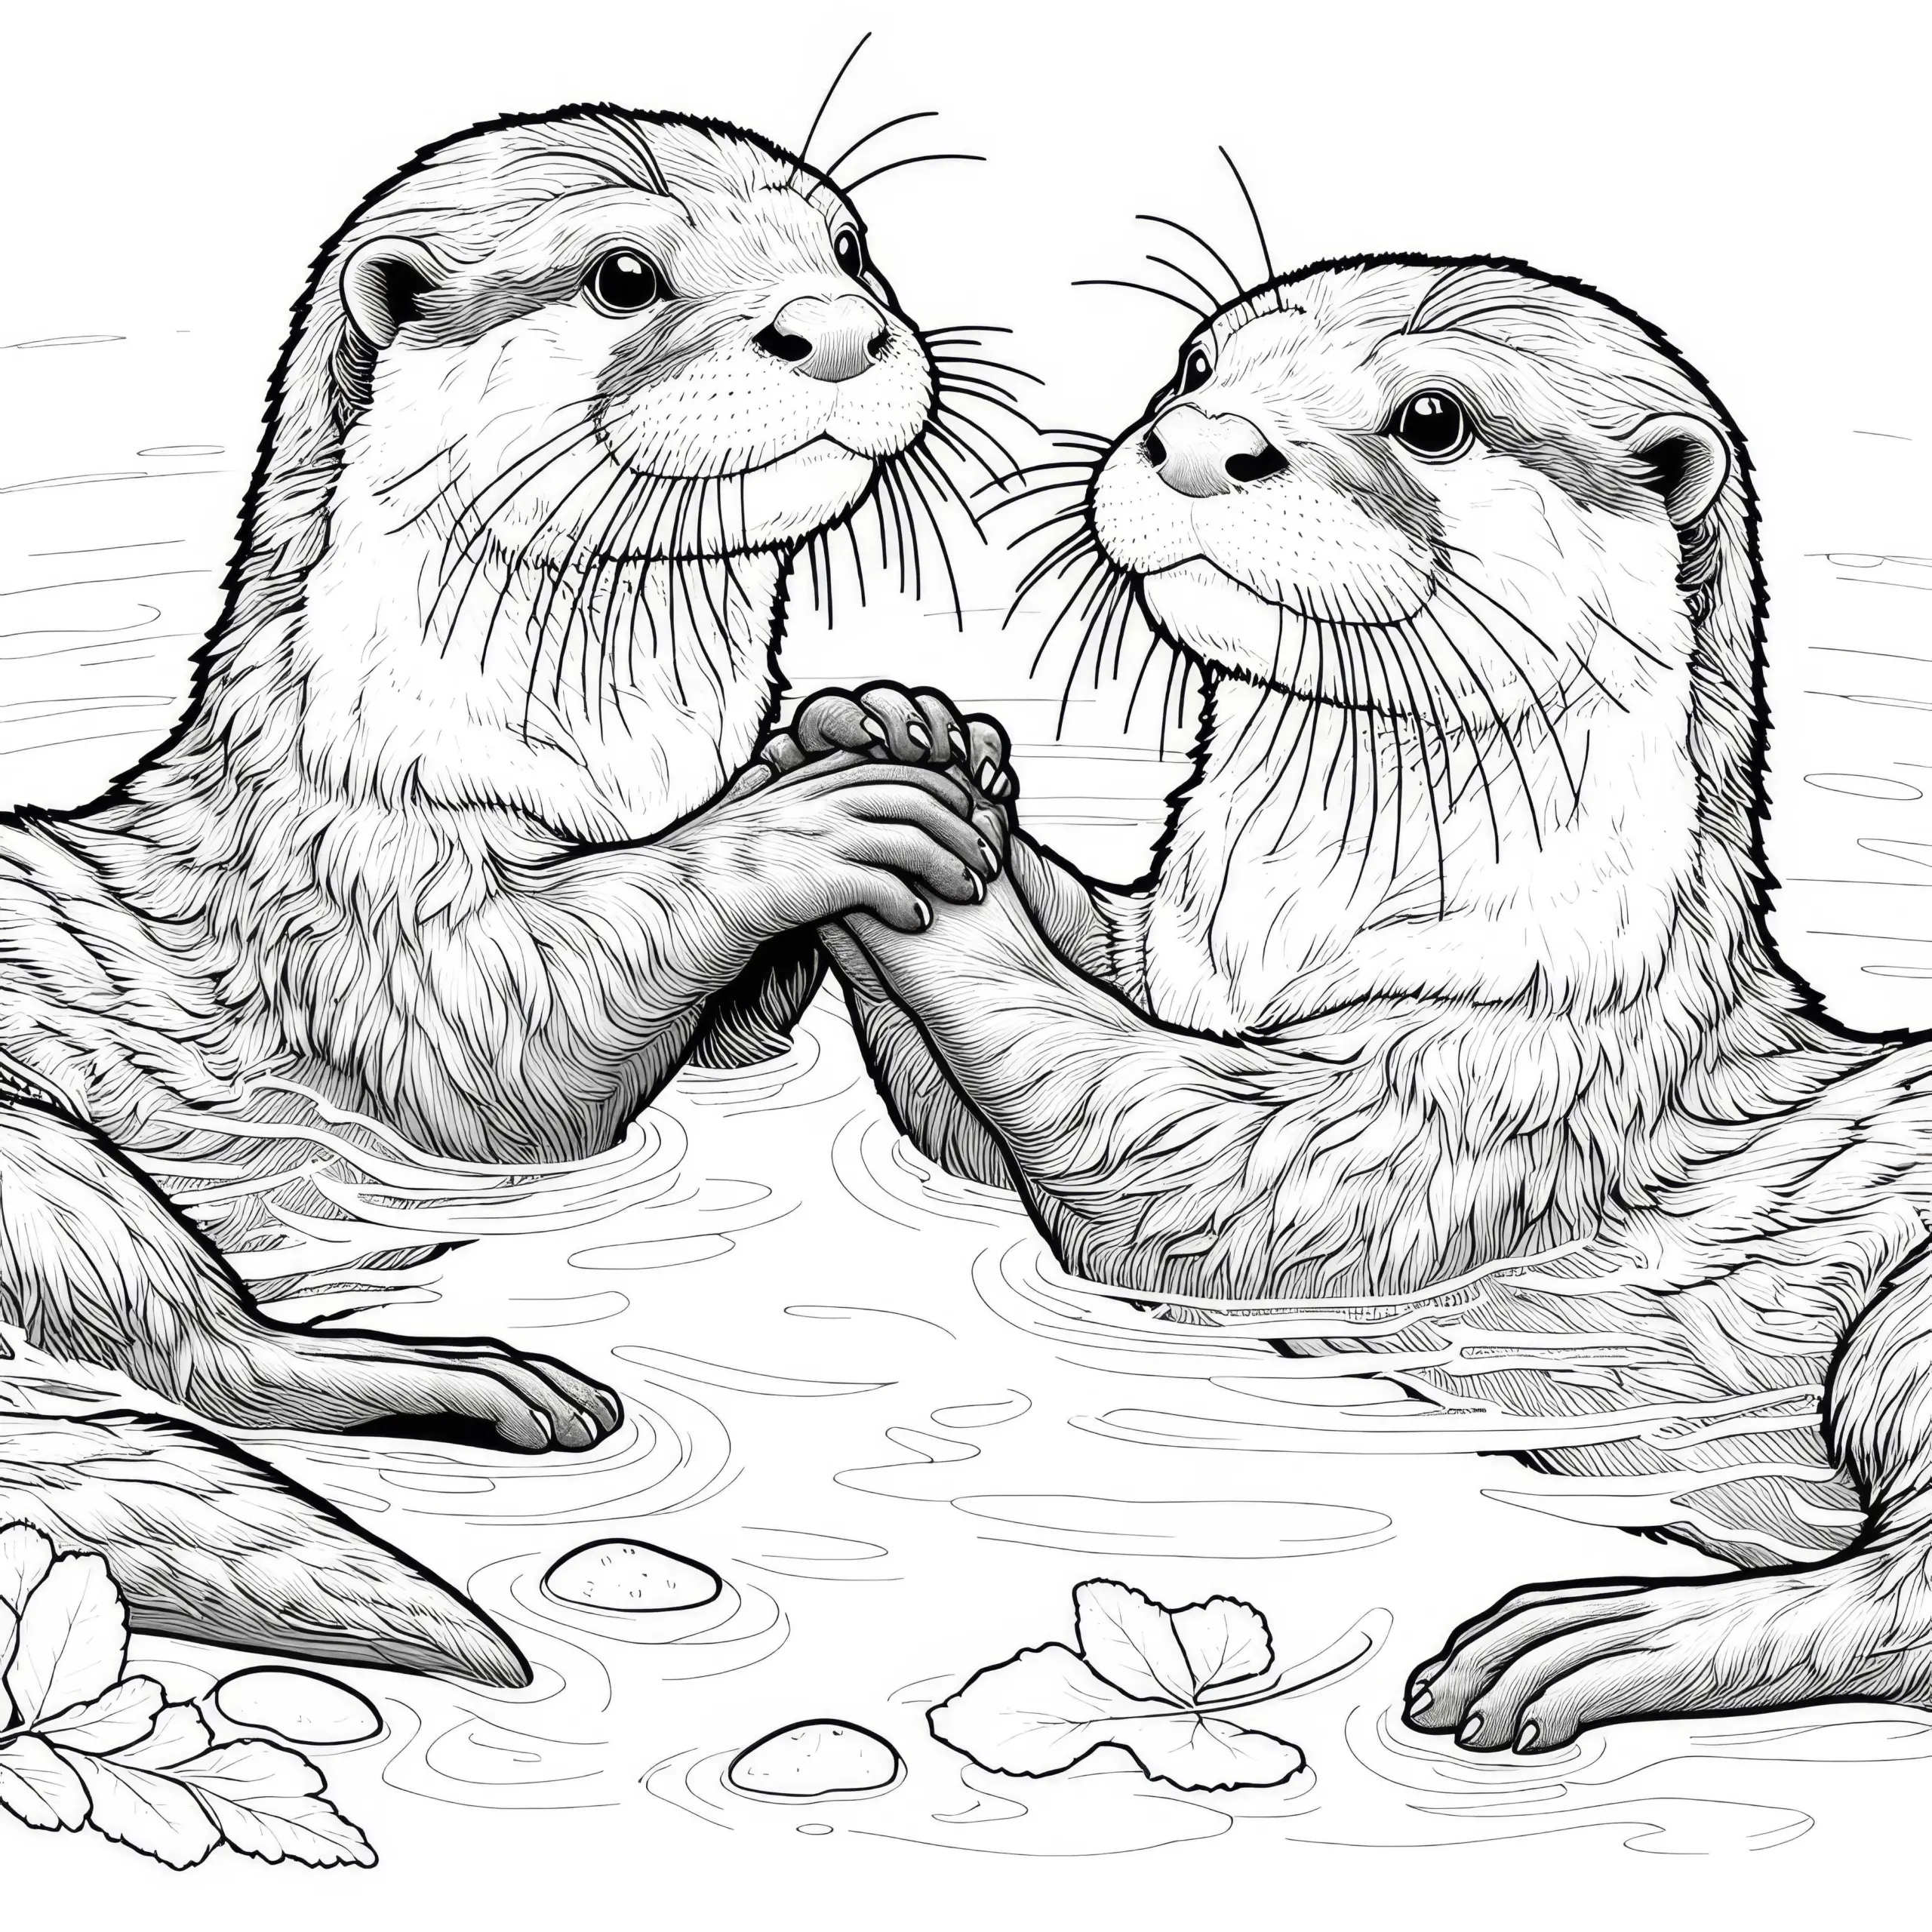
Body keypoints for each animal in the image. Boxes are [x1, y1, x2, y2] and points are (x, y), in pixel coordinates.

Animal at [0, 104, 1000, 1668]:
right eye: (622, 275)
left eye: (849, 247)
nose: (837, 327)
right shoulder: (376, 915)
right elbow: (529, 1036)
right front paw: (816, 812)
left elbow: (731, 1029)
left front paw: (895, 723)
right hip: (40, 1162)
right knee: (210, 1354)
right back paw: (494, 1381)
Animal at [814, 255, 1932, 1749]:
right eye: (1195, 366)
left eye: (1433, 417)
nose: (1199, 442)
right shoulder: (1173, 962)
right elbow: (1052, 1016)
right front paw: (912, 733)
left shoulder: (1476, 1096)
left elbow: (1143, 1139)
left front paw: (936, 861)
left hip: (1909, 1327)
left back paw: (1580, 1642)